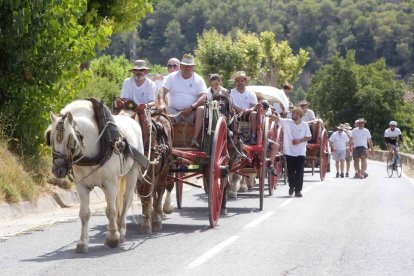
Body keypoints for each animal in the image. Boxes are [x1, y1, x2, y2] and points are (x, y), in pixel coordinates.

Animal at [45, 100, 145, 253]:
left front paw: (112, 239)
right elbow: (84, 213)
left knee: (126, 200)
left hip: (131, 173)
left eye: (71, 140)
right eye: (50, 138)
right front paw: (82, 243)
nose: (58, 169)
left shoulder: (110, 183)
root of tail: (131, 120)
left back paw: (121, 232)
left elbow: (111, 211)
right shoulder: (81, 185)